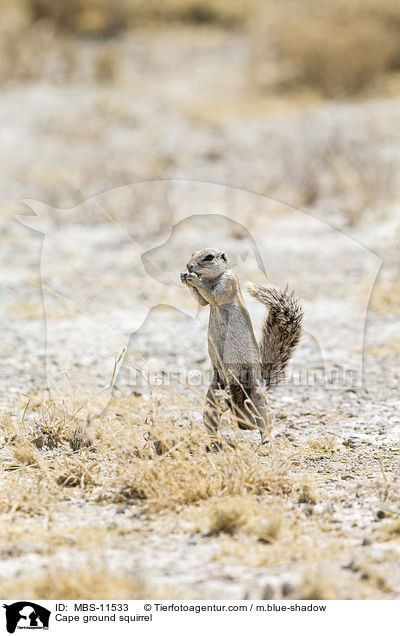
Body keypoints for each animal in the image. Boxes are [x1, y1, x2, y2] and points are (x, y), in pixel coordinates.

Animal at [181, 248, 304, 442]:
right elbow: (202, 302)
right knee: (212, 420)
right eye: (192, 253)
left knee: (265, 421)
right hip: (214, 393)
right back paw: (214, 442)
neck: (211, 278)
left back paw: (266, 441)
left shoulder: (228, 282)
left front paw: (193, 279)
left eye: (209, 257)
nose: (188, 266)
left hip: (256, 396)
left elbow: (213, 296)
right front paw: (184, 277)